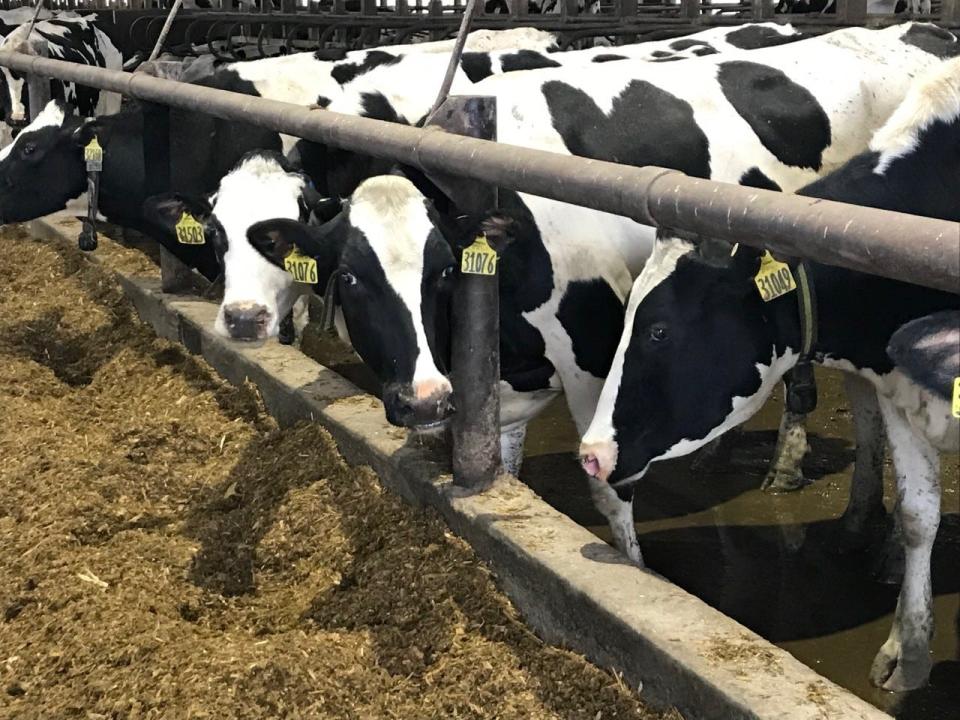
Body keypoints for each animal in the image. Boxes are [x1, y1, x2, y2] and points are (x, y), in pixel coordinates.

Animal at [214, 22, 956, 556]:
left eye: (445, 270)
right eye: (350, 277)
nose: (422, 400)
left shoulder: (598, 356)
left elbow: (611, 496)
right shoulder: (497, 379)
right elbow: (502, 466)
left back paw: (794, 471)